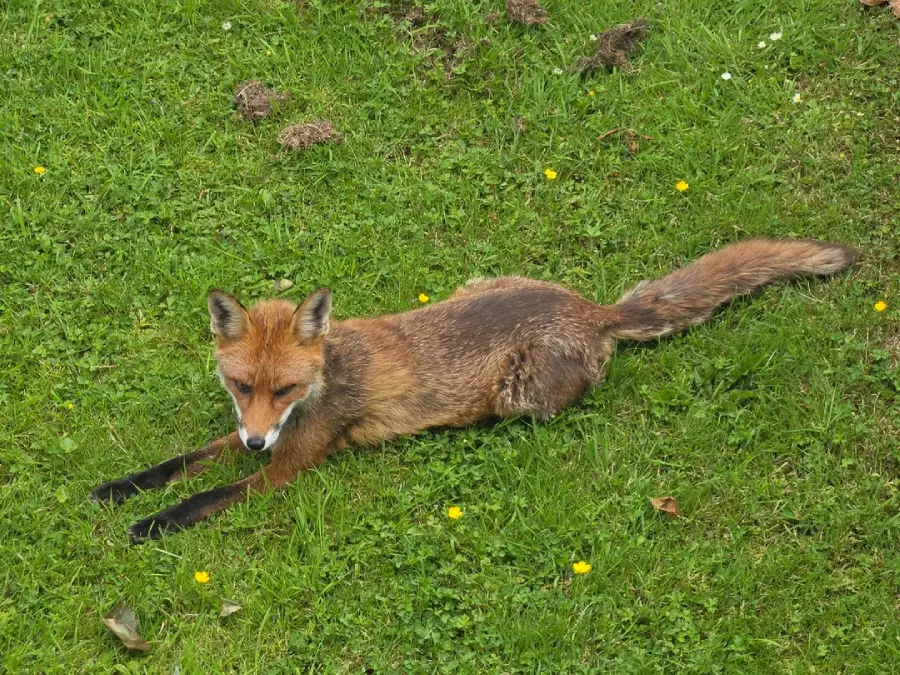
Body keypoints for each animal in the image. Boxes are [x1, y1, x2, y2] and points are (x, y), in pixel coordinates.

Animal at [90, 238, 857, 541]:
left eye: (285, 389)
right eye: (243, 384)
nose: (255, 437)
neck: (328, 377)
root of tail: (593, 309)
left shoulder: (288, 466)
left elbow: (204, 496)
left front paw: (151, 524)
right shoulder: (247, 439)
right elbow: (179, 463)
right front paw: (118, 488)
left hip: (522, 394)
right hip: (478, 282)